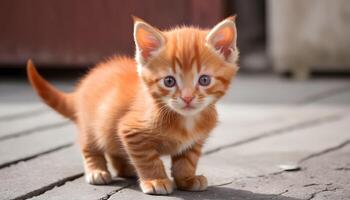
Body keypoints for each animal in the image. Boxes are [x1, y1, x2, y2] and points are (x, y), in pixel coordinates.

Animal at [26, 16, 238, 195]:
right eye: (169, 81)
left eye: (204, 80)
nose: (187, 98)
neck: (186, 120)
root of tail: (84, 85)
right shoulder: (131, 131)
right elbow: (148, 160)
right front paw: (156, 180)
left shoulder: (195, 141)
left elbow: (187, 160)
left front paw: (187, 179)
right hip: (91, 126)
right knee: (90, 147)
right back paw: (97, 171)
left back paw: (127, 168)